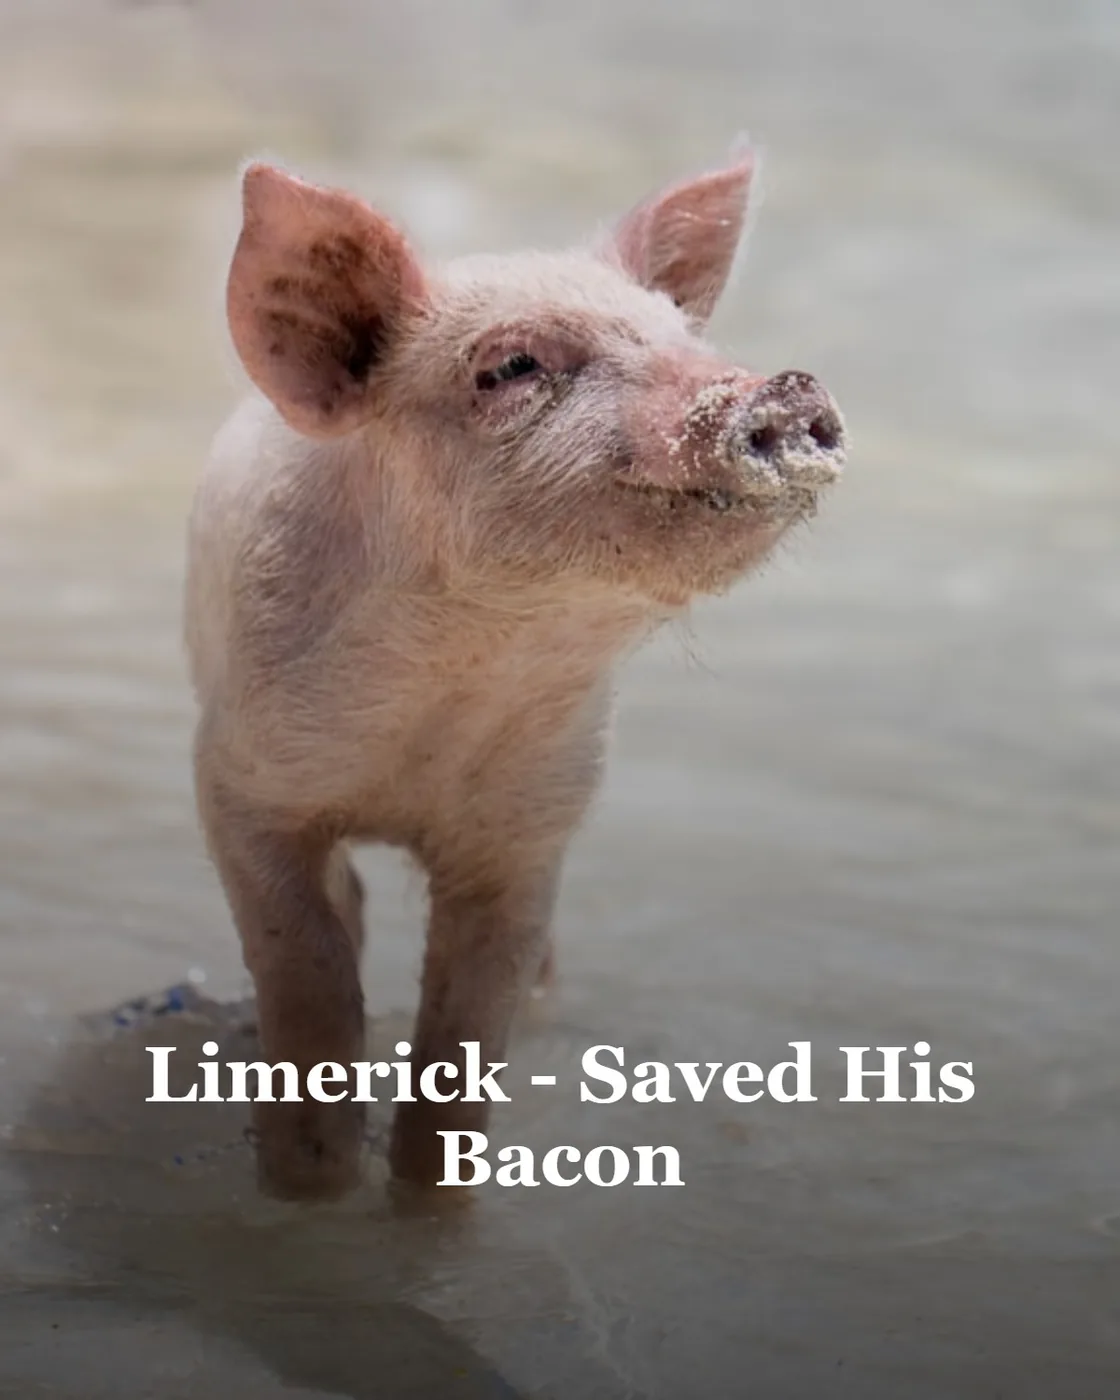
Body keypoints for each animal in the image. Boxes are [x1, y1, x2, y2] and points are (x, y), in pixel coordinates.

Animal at [184, 149, 846, 1200]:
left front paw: (426, 1205)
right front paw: (309, 1189)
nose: (782, 389)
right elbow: (308, 970)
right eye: (510, 367)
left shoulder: (533, 824)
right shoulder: (239, 779)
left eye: (681, 336)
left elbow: (468, 1030)